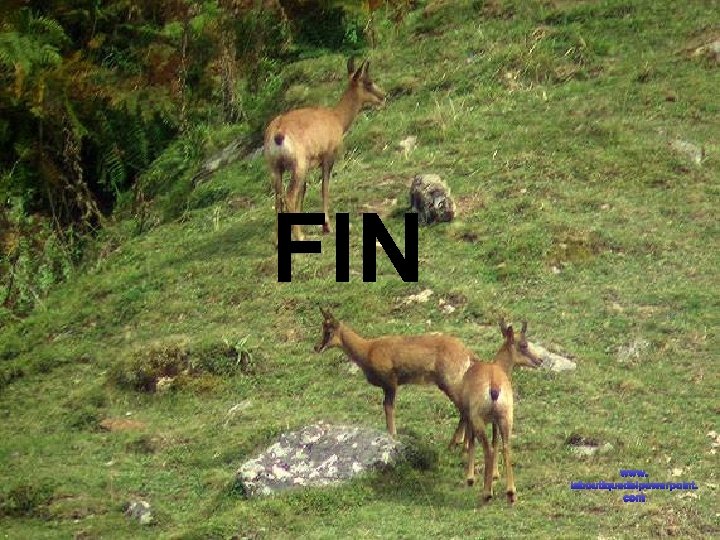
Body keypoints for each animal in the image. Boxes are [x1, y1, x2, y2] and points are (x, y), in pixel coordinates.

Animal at [264, 58, 386, 244]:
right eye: (369, 82)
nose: (383, 96)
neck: (337, 118)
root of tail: (277, 133)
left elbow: (303, 193)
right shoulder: (328, 156)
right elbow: (324, 188)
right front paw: (327, 226)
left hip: (275, 167)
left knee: (279, 198)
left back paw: (279, 240)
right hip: (298, 164)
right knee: (289, 196)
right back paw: (299, 237)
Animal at [314, 308, 479, 439]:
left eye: (328, 331)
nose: (317, 347)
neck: (368, 349)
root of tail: (467, 352)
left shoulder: (390, 382)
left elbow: (388, 407)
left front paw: (392, 434)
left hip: (450, 382)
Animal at [460, 320, 542, 506]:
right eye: (524, 344)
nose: (540, 360)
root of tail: (494, 385)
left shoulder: (470, 416)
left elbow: (472, 442)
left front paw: (470, 478)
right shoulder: (495, 421)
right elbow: (496, 440)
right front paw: (496, 475)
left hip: (479, 419)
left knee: (488, 449)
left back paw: (487, 493)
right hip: (506, 417)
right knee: (505, 447)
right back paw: (511, 493)